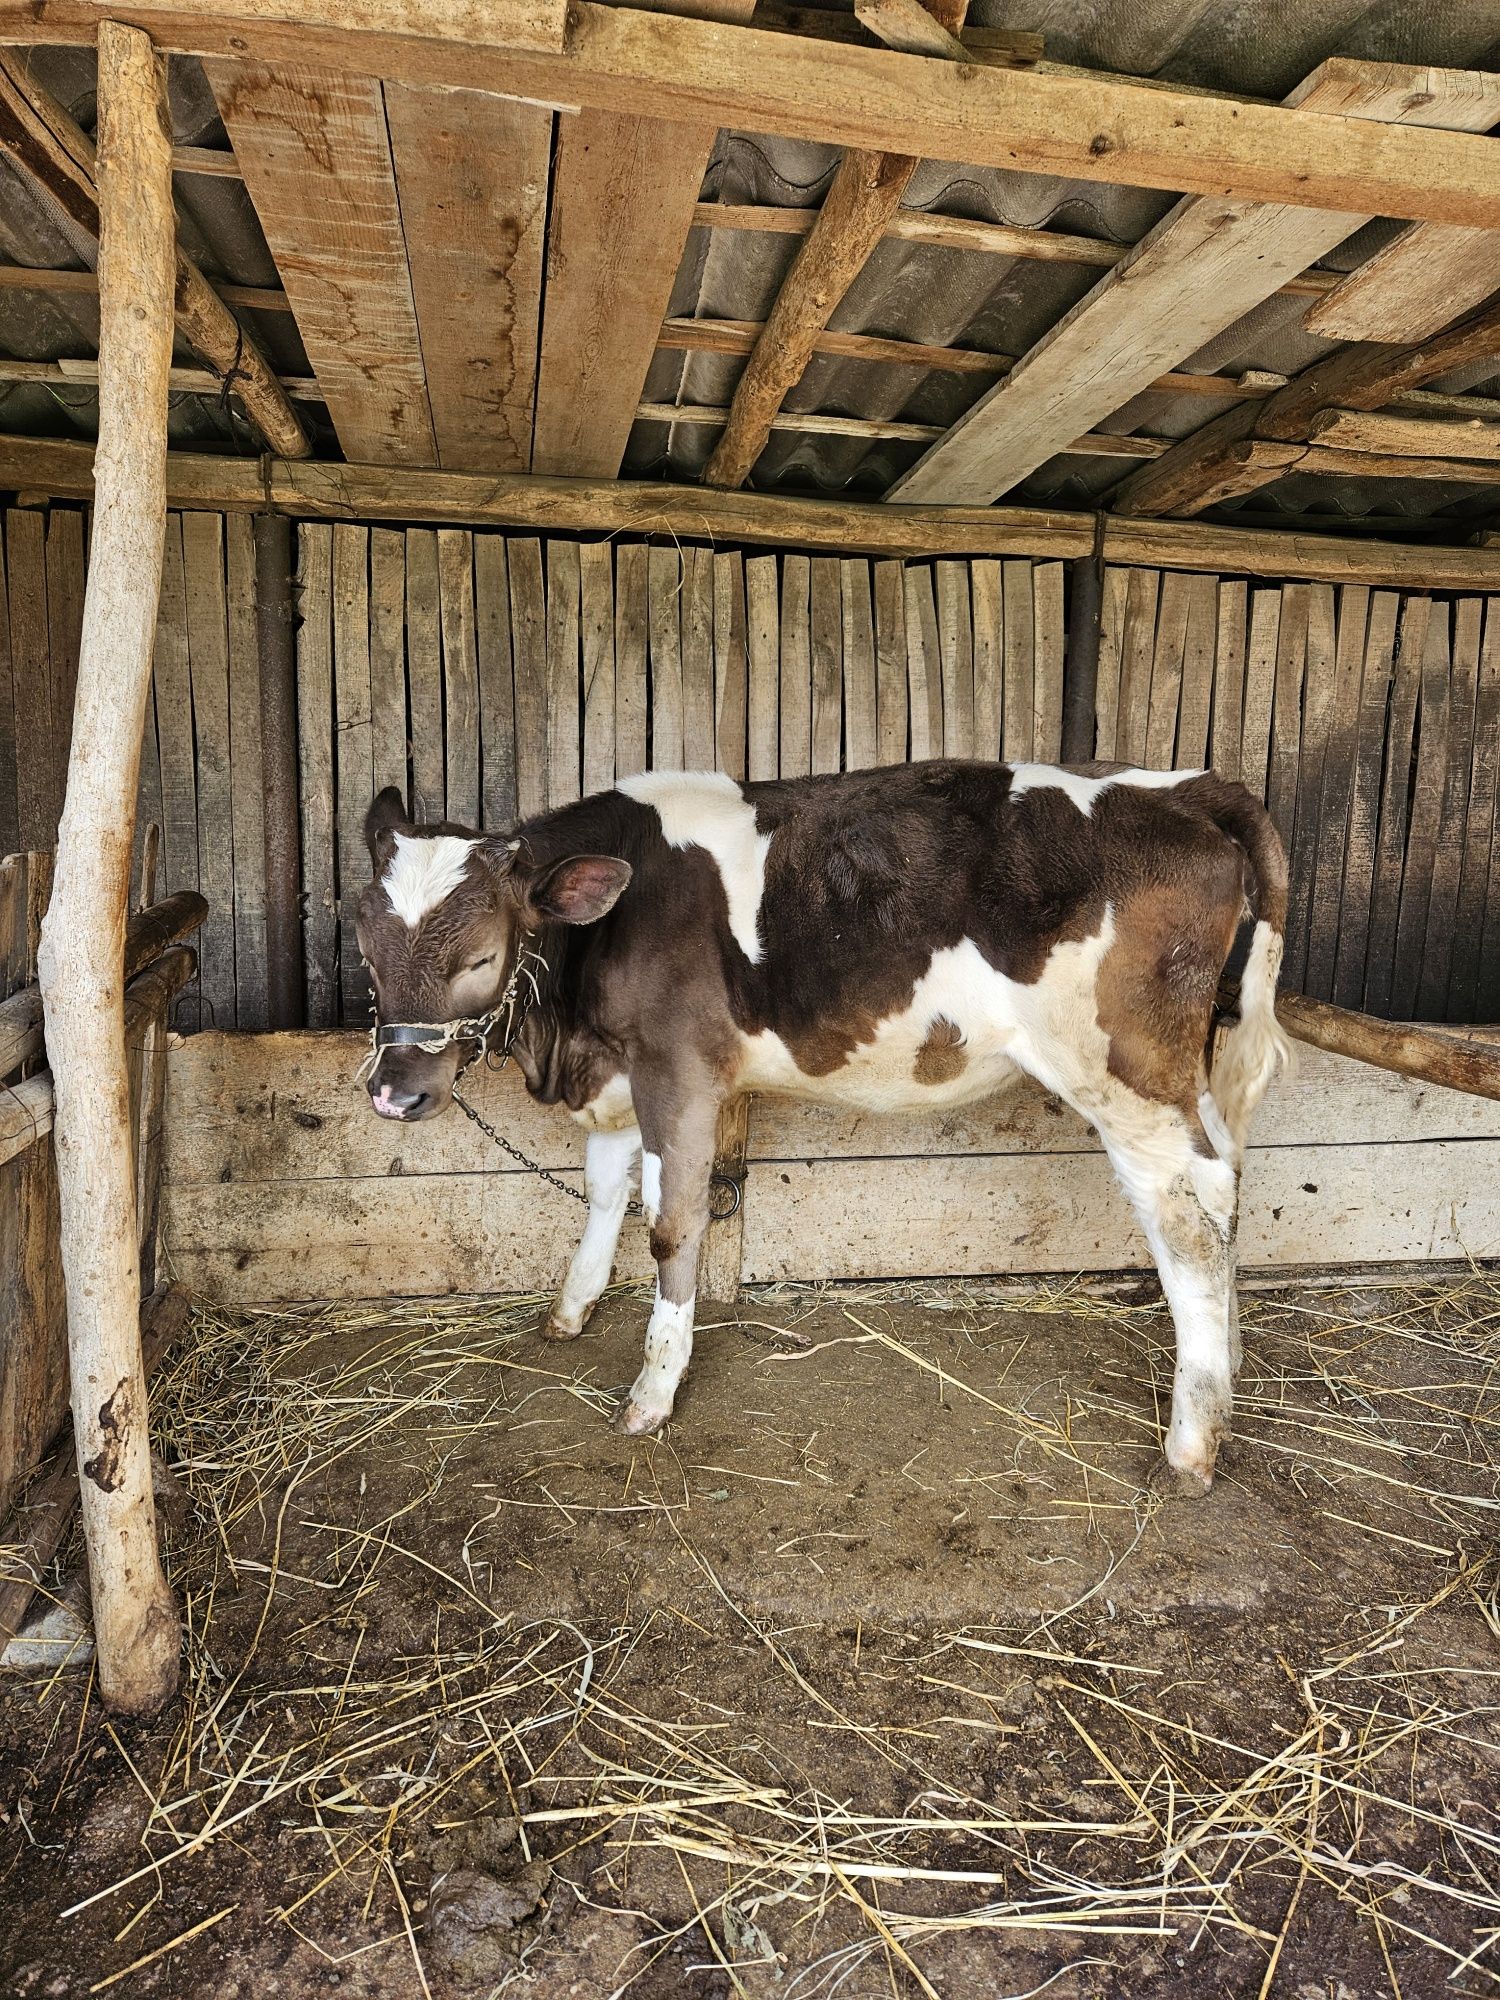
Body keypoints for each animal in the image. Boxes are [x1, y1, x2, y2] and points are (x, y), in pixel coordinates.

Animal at [356, 756, 1296, 1496]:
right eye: (364, 948)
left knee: (1189, 1218)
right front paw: (571, 1310)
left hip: (1125, 1074)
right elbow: (602, 1194)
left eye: (480, 957)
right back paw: (1228, 1369)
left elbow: (672, 1225)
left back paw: (1191, 1445)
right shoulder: (619, 1068)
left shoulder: (680, 1072)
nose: (394, 1095)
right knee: (1226, 1183)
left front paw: (653, 1394)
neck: (567, 1028)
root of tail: (1186, 787)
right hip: (1182, 1074)